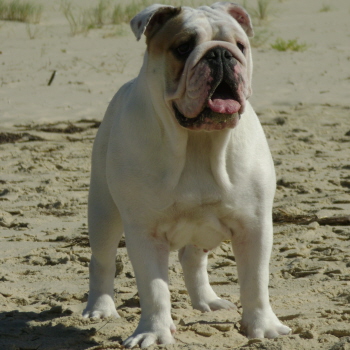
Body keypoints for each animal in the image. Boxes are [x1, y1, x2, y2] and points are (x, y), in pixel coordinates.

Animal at [82, 2, 290, 348]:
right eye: (182, 48)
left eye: (241, 46)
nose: (220, 54)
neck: (198, 142)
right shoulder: (145, 232)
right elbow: (154, 289)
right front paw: (153, 332)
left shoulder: (255, 227)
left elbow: (256, 282)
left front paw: (264, 327)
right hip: (102, 214)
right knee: (102, 260)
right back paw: (100, 308)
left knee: (193, 259)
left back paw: (207, 300)